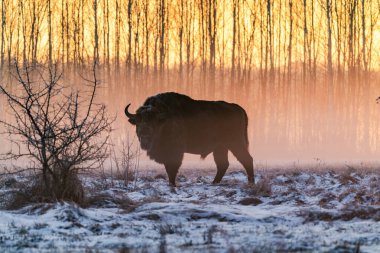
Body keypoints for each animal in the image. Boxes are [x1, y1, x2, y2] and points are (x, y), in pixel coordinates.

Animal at [125, 92, 255, 186]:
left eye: (153, 121)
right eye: (138, 121)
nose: (144, 134)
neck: (164, 120)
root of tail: (239, 108)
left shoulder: (175, 152)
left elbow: (172, 169)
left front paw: (172, 184)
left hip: (235, 144)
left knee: (247, 160)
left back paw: (251, 183)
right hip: (220, 148)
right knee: (223, 164)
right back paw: (214, 183)